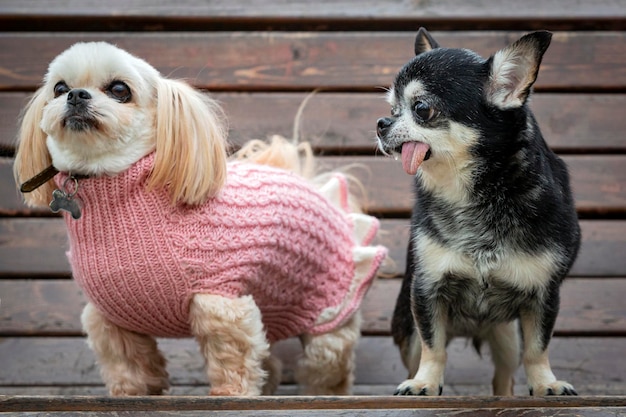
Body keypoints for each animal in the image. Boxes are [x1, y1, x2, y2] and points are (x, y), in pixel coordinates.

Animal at [13, 42, 386, 396]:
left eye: (119, 89)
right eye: (59, 88)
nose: (76, 95)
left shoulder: (219, 303)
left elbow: (231, 357)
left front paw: (231, 394)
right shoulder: (109, 318)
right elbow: (127, 363)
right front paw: (130, 393)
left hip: (328, 310)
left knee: (328, 362)